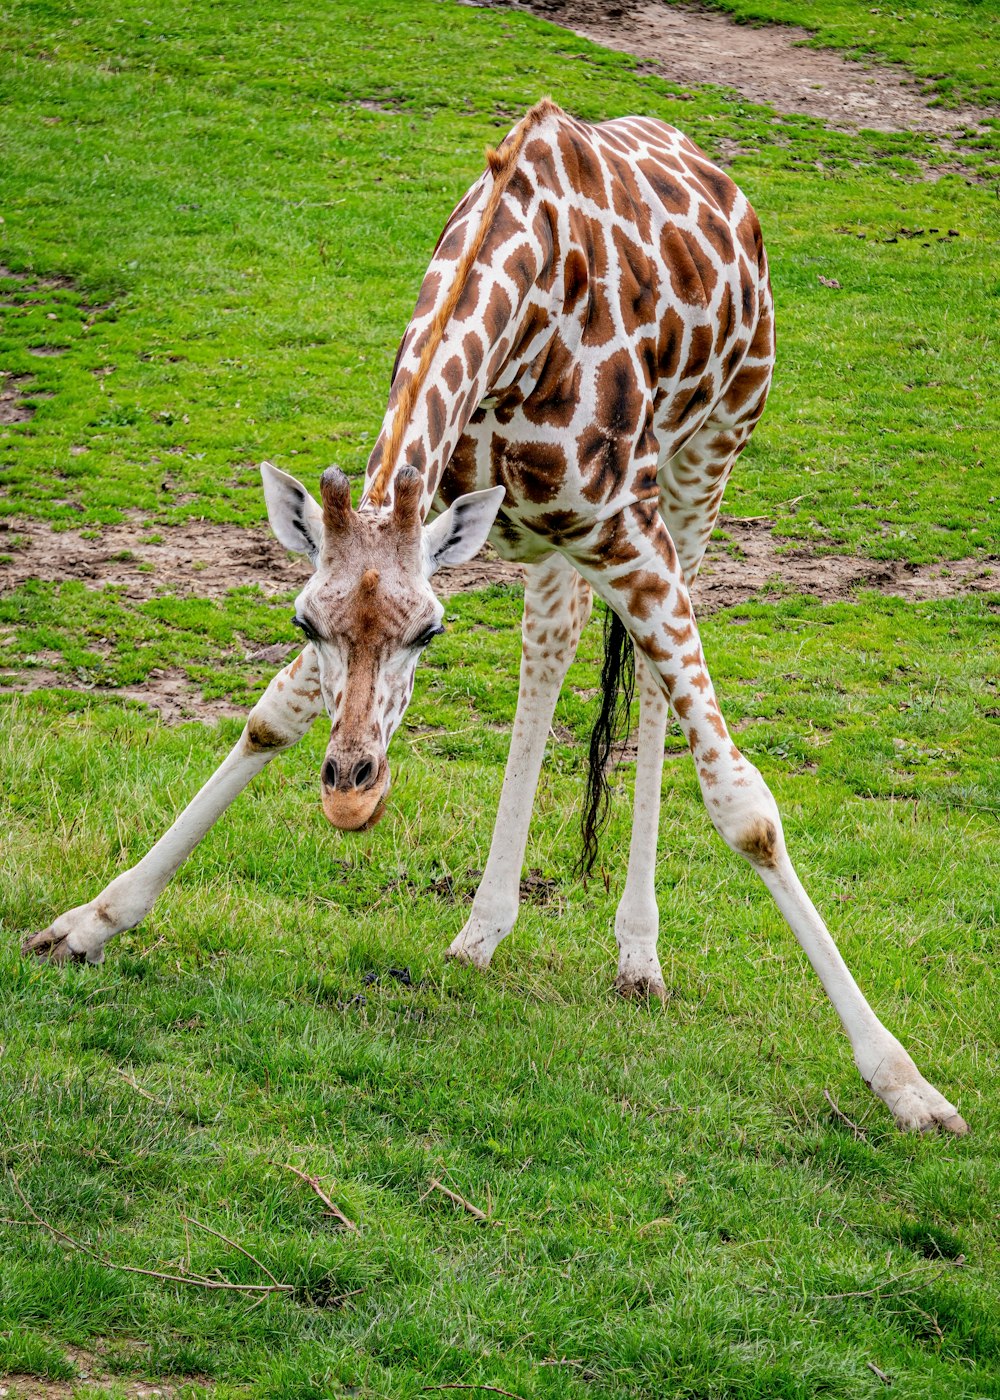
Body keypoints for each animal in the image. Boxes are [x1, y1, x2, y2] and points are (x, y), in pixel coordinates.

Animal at [25, 101, 963, 1136]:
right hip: (557, 544)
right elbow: (272, 716)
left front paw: (907, 1084)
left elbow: (746, 810)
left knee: (646, 688)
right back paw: (483, 929)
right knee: (549, 652)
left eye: (428, 633)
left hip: (704, 468)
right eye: (307, 623)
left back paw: (639, 958)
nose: (351, 792)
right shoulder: (444, 517)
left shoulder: (626, 529)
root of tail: (725, 186)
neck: (522, 302)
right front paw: (89, 923)